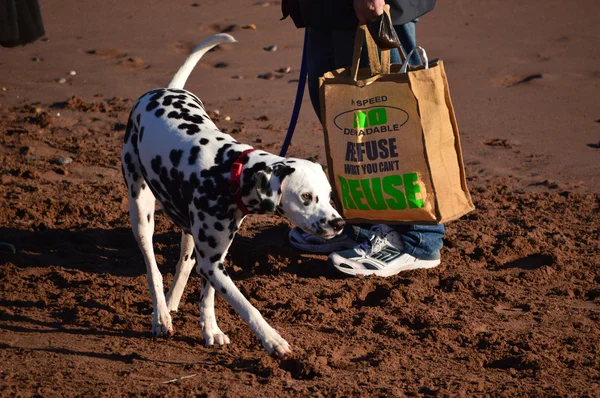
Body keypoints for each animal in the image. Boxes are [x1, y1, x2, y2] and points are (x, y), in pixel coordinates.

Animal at [120, 35, 346, 358]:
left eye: (328, 195)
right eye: (305, 196)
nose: (339, 224)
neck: (228, 170)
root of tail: (165, 89)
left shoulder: (216, 256)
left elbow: (208, 295)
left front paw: (210, 329)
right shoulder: (213, 263)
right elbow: (246, 305)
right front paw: (272, 339)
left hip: (189, 233)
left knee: (183, 263)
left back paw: (172, 302)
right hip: (140, 211)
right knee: (153, 268)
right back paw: (161, 316)